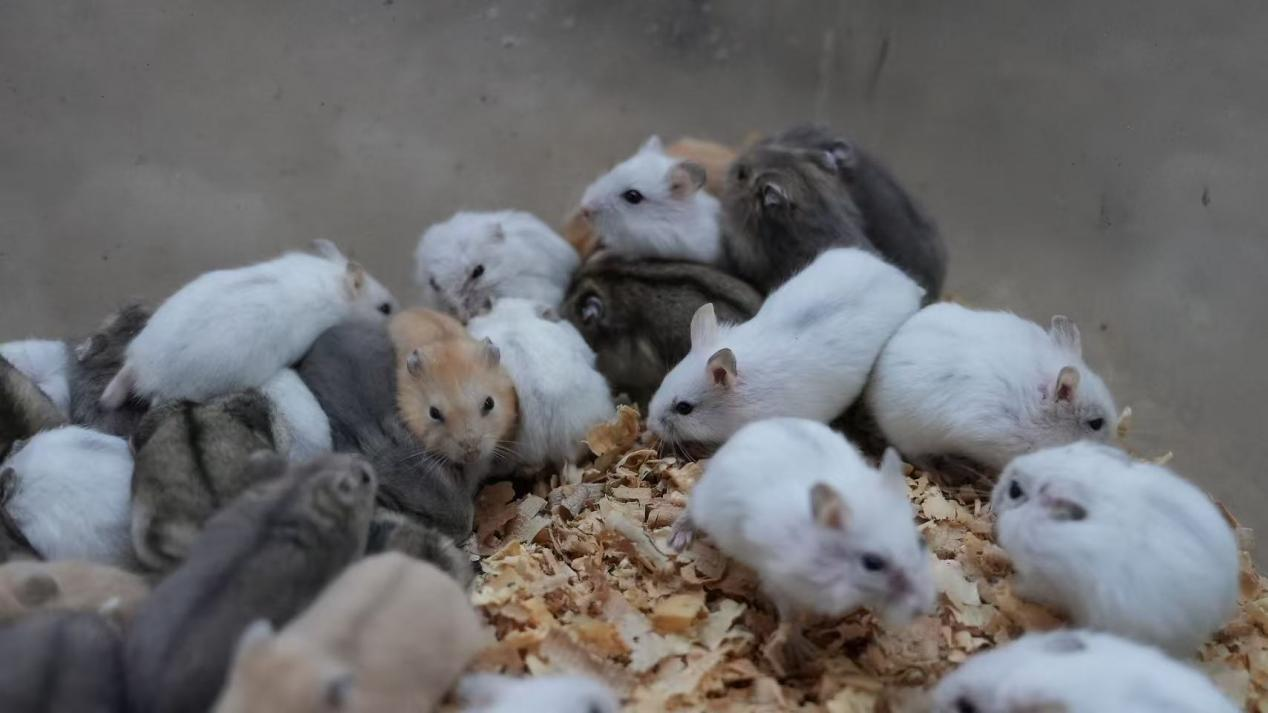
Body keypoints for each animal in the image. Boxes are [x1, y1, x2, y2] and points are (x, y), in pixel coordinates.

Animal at [671, 418, 934, 668]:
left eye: (921, 543)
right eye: (872, 563)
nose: (924, 609)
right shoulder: (780, 583)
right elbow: (790, 618)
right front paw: (803, 652)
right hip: (706, 505)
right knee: (691, 509)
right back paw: (676, 541)